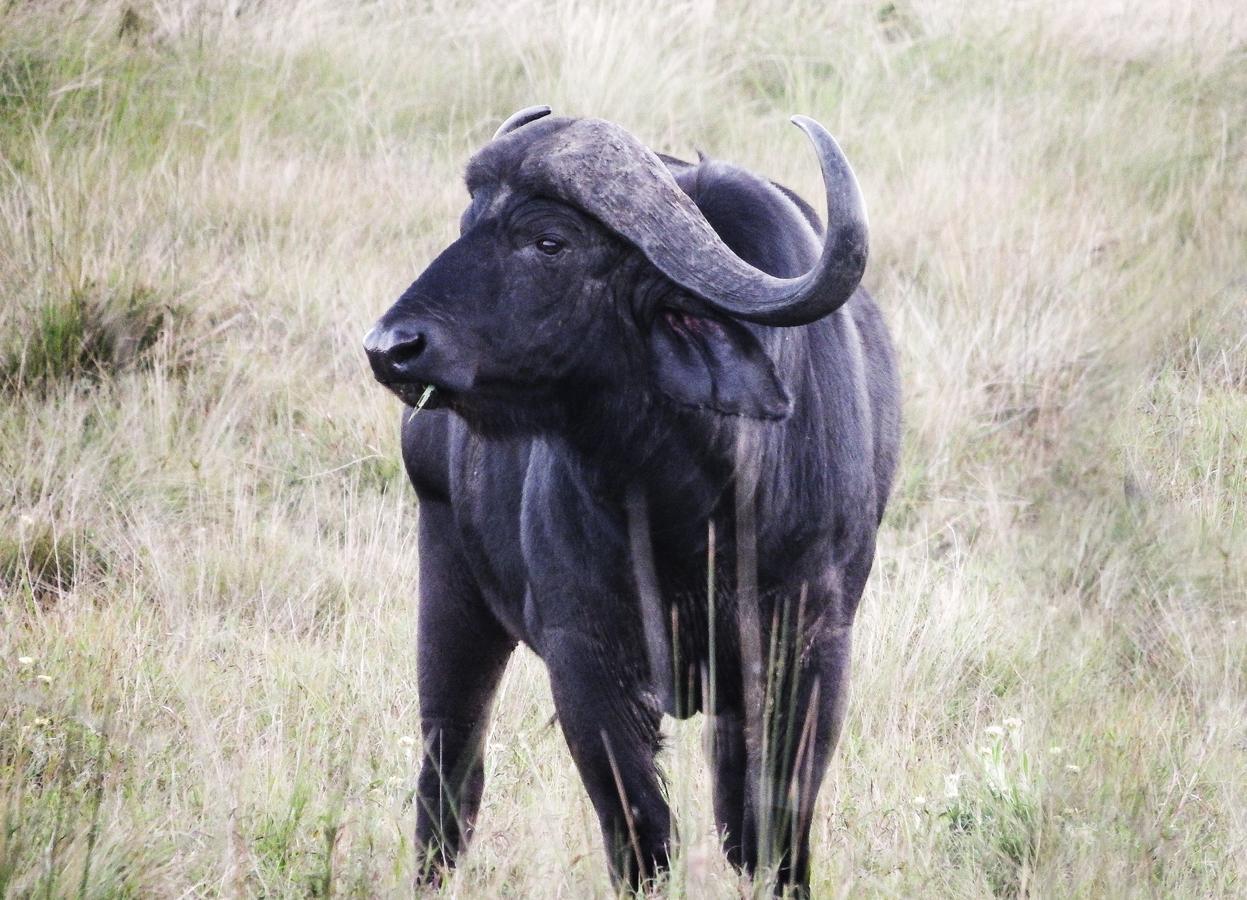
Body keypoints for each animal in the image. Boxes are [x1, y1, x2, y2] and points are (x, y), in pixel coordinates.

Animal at [364, 105, 902, 892]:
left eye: (549, 240)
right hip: (449, 582)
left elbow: (774, 825)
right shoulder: (585, 662)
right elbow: (640, 833)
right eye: (467, 223)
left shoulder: (810, 646)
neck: (693, 506)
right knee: (450, 768)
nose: (390, 346)